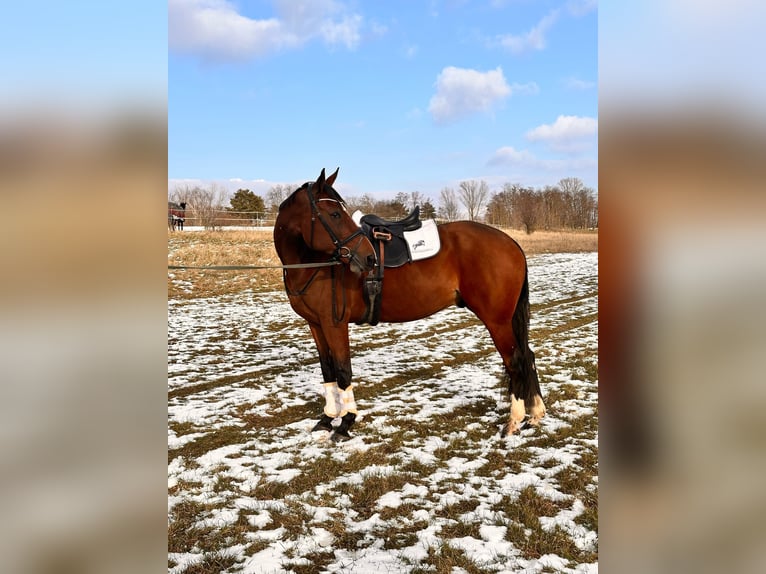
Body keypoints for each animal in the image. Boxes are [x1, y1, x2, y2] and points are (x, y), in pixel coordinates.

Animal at [276, 169, 544, 444]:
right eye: (334, 214)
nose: (369, 258)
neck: (313, 263)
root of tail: (511, 243)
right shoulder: (316, 324)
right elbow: (328, 370)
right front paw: (327, 419)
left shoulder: (335, 324)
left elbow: (343, 371)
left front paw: (346, 423)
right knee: (528, 356)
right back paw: (534, 415)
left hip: (497, 320)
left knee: (516, 361)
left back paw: (513, 422)